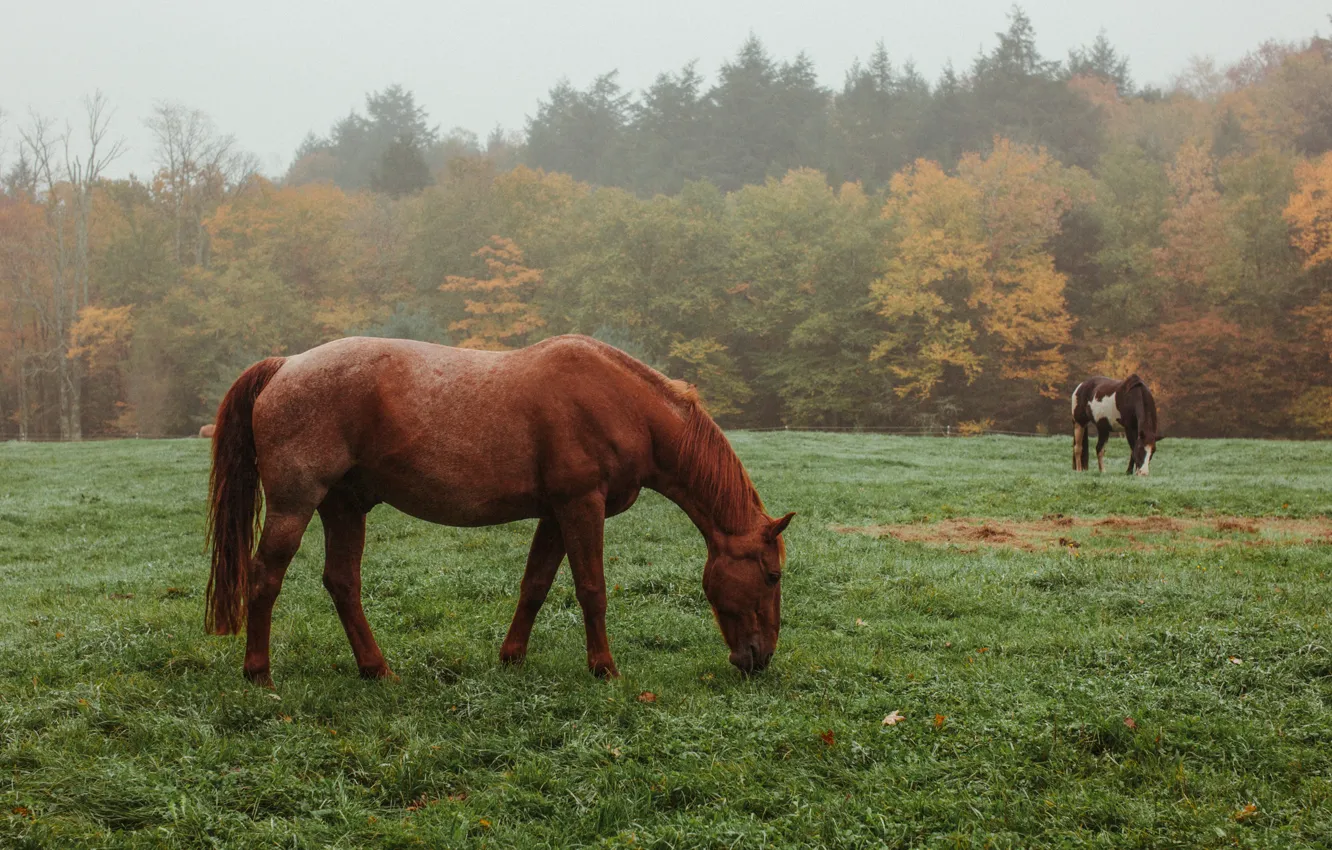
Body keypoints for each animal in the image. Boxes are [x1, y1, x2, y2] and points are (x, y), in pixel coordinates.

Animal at [205, 335, 794, 688]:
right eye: (772, 574)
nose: (759, 657)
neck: (623, 404)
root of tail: (285, 366)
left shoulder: (557, 514)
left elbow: (535, 586)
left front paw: (512, 657)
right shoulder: (582, 506)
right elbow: (592, 589)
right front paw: (604, 668)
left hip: (344, 506)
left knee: (342, 583)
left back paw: (377, 670)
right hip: (295, 505)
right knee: (265, 579)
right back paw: (259, 674)